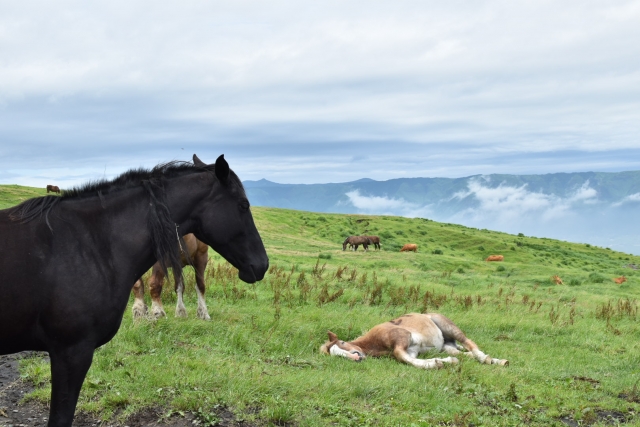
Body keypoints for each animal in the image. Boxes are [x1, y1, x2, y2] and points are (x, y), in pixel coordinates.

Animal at [320, 312, 510, 370]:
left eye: (342, 343)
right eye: (334, 354)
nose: (355, 357)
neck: (375, 341)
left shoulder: (404, 337)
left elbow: (400, 355)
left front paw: (438, 363)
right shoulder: (411, 351)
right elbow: (410, 359)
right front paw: (442, 362)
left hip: (449, 327)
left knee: (470, 344)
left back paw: (494, 360)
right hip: (447, 346)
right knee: (465, 353)